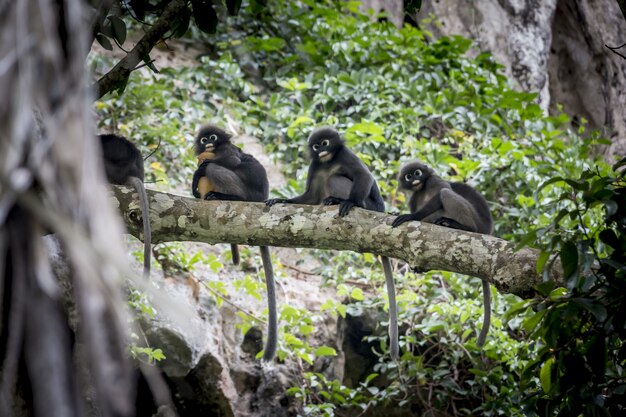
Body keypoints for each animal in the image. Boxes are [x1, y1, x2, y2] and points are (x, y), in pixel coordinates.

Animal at [264, 127, 400, 360]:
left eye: (325, 143)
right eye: (316, 146)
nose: (321, 151)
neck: (328, 161)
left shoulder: (346, 155)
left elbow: (364, 175)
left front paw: (351, 202)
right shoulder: (315, 166)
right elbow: (310, 196)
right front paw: (282, 200)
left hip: (371, 205)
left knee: (338, 177)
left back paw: (347, 202)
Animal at [390, 161, 492, 346]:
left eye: (417, 173)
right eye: (409, 176)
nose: (415, 179)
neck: (422, 188)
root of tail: (487, 230)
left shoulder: (434, 180)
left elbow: (440, 193)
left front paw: (410, 215)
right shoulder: (414, 197)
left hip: (476, 222)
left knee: (446, 193)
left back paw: (462, 226)